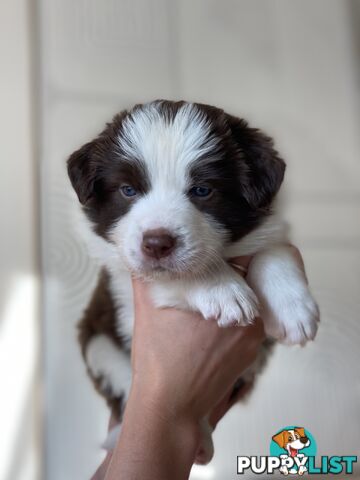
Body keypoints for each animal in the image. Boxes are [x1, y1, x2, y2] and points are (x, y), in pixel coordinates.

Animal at [66, 99, 320, 464]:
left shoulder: (267, 230)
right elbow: (183, 272)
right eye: (128, 190)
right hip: (97, 344)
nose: (156, 244)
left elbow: (275, 250)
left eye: (202, 190)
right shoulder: (123, 284)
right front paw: (223, 290)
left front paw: (293, 311)